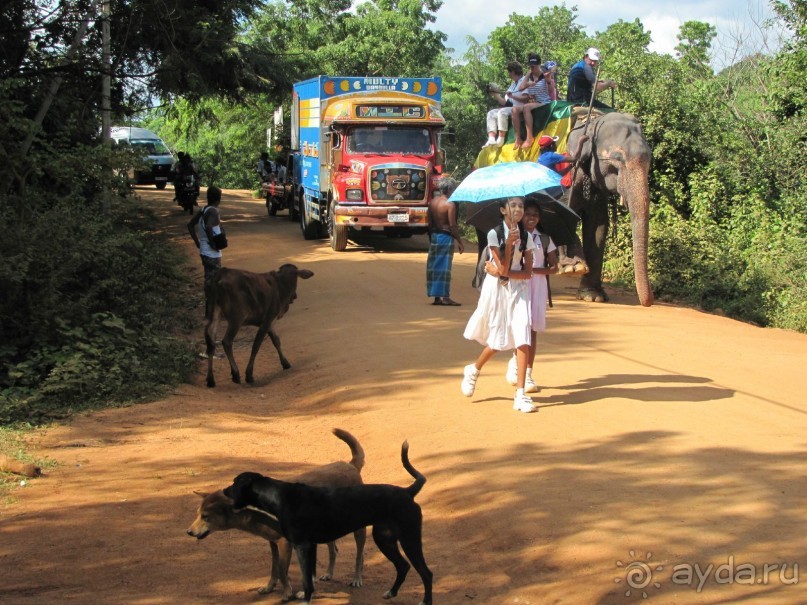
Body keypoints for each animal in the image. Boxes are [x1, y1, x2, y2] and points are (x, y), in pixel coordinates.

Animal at [186, 430, 366, 600]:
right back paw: (328, 573)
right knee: (333, 549)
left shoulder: (285, 542)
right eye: (197, 514)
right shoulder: (272, 541)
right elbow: (274, 568)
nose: (188, 532)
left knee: (360, 554)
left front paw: (287, 593)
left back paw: (356, 579)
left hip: (358, 530)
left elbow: (282, 570)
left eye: (205, 516)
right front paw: (269, 587)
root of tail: (350, 466)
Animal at [224, 438, 432, 604]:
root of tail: (407, 491)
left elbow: (305, 579)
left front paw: (304, 598)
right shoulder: (308, 545)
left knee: (425, 572)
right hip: (384, 539)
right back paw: (391, 592)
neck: (279, 496)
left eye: (234, 483)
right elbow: (306, 575)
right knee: (403, 566)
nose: (224, 491)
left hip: (407, 539)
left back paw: (423, 600)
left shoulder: (301, 546)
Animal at [560, 111, 656, 306]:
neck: (591, 122)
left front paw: (592, 296)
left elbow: (598, 225)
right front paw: (572, 266)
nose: (650, 302)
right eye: (617, 159)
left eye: (649, 159)